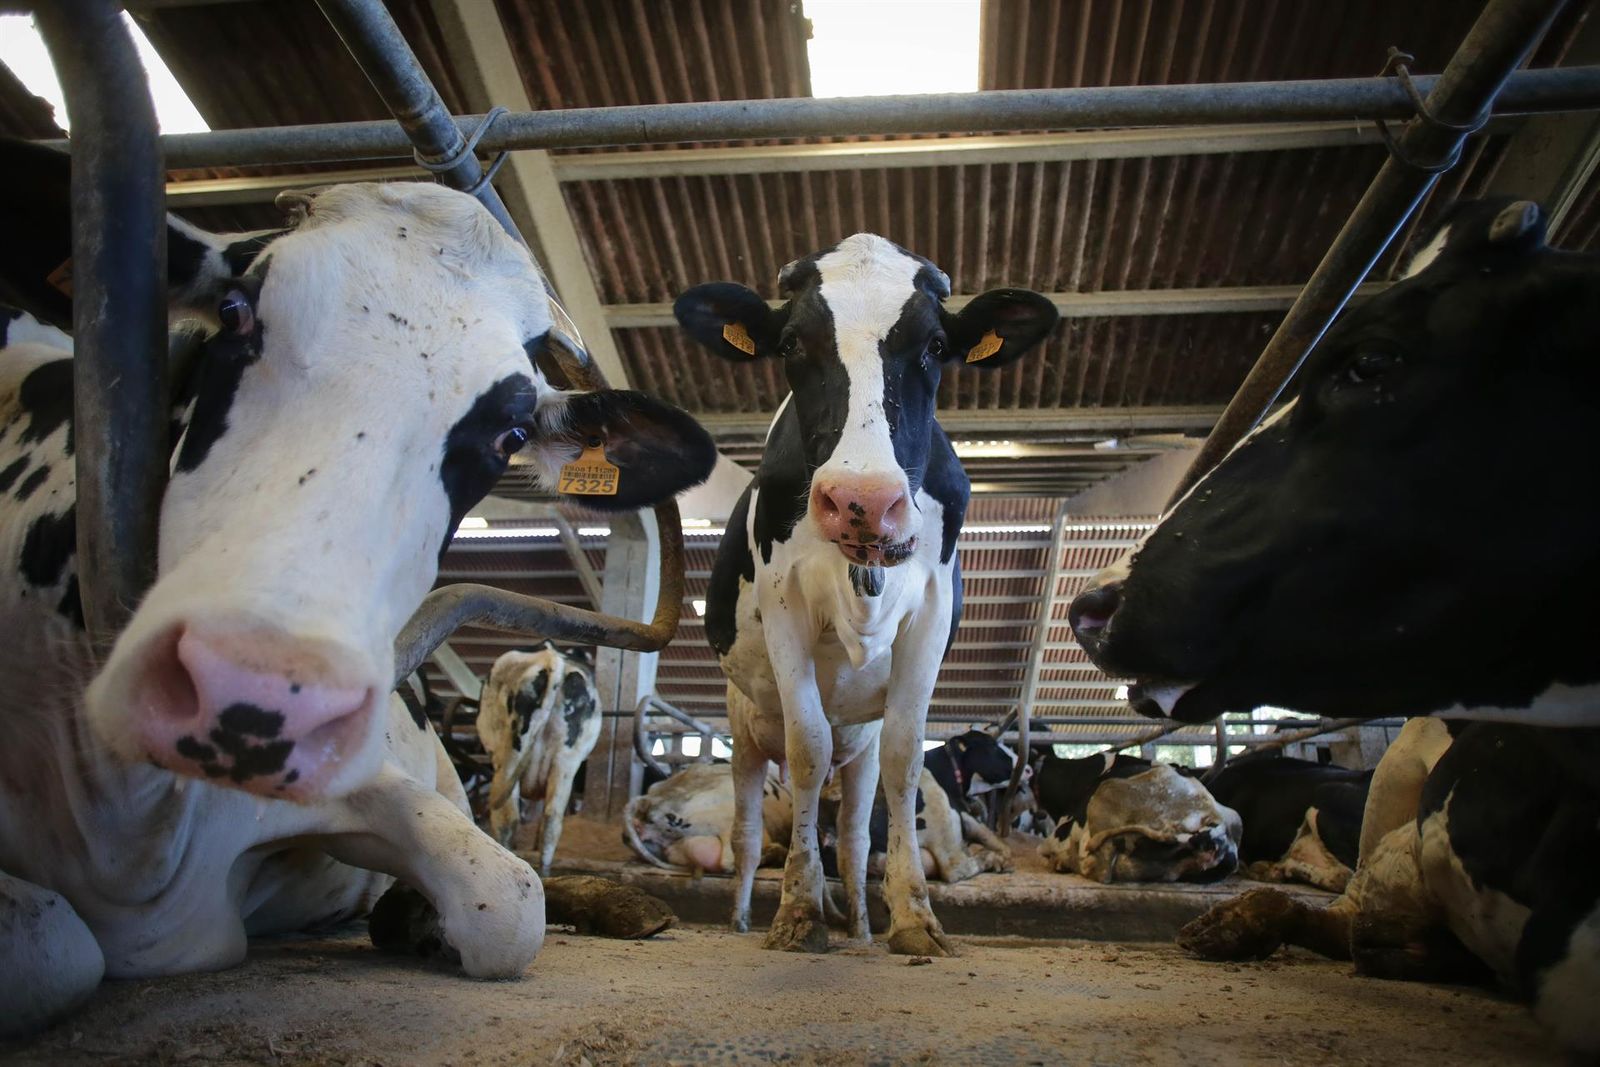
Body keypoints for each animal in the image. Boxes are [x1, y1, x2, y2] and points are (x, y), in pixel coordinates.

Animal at [476, 643, 601, 871]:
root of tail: (552, 658)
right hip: (566, 762)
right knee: (552, 820)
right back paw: (544, 871)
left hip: (508, 755)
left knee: (507, 819)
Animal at [675, 234, 1057, 954]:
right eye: (792, 342)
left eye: (935, 344)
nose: (865, 501)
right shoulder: (785, 605)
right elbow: (807, 746)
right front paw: (798, 912)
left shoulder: (930, 613)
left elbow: (907, 758)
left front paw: (912, 917)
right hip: (743, 733)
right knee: (746, 834)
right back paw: (743, 918)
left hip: (859, 750)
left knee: (852, 835)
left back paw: (857, 927)